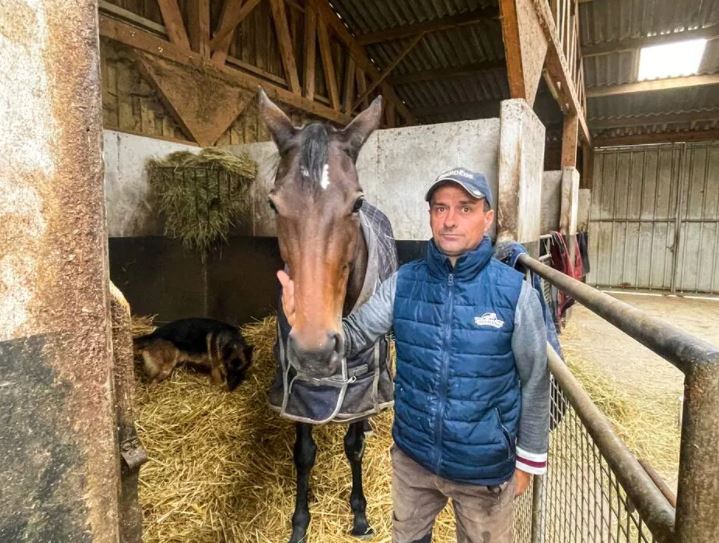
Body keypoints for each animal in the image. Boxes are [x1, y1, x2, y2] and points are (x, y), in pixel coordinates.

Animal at [258, 90, 396, 543]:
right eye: (274, 202)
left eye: (356, 203)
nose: (315, 350)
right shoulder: (297, 384)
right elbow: (304, 452)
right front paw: (300, 522)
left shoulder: (361, 383)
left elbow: (353, 447)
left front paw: (359, 514)